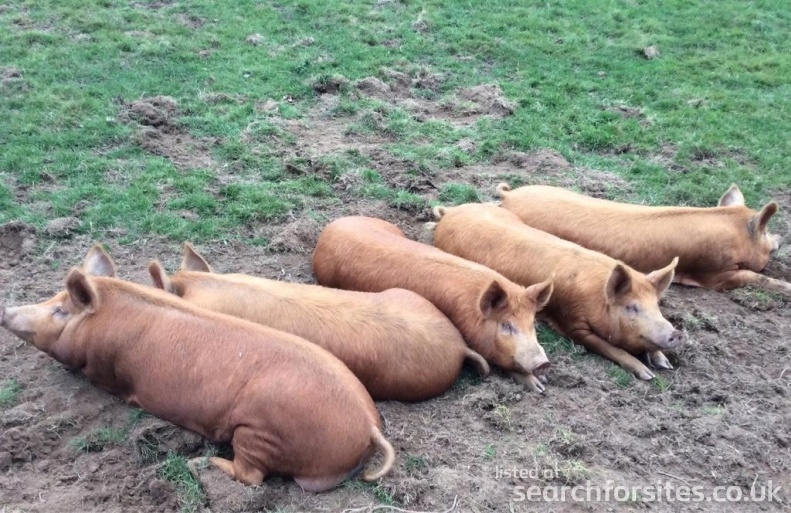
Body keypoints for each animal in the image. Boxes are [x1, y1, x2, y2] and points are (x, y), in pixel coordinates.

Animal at [0, 245, 394, 491]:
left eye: (60, 310)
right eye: (52, 298)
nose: (6, 310)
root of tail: (369, 426)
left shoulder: (105, 372)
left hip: (260, 431)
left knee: (251, 475)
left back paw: (199, 465)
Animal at [312, 216, 554, 393]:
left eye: (532, 323)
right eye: (506, 325)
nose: (543, 363)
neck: (470, 311)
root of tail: (334, 225)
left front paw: (541, 385)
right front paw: (538, 387)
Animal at [431, 203, 683, 380]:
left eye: (657, 305)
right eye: (632, 307)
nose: (676, 333)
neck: (596, 299)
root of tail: (452, 211)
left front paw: (665, 364)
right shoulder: (574, 323)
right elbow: (610, 348)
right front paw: (647, 374)